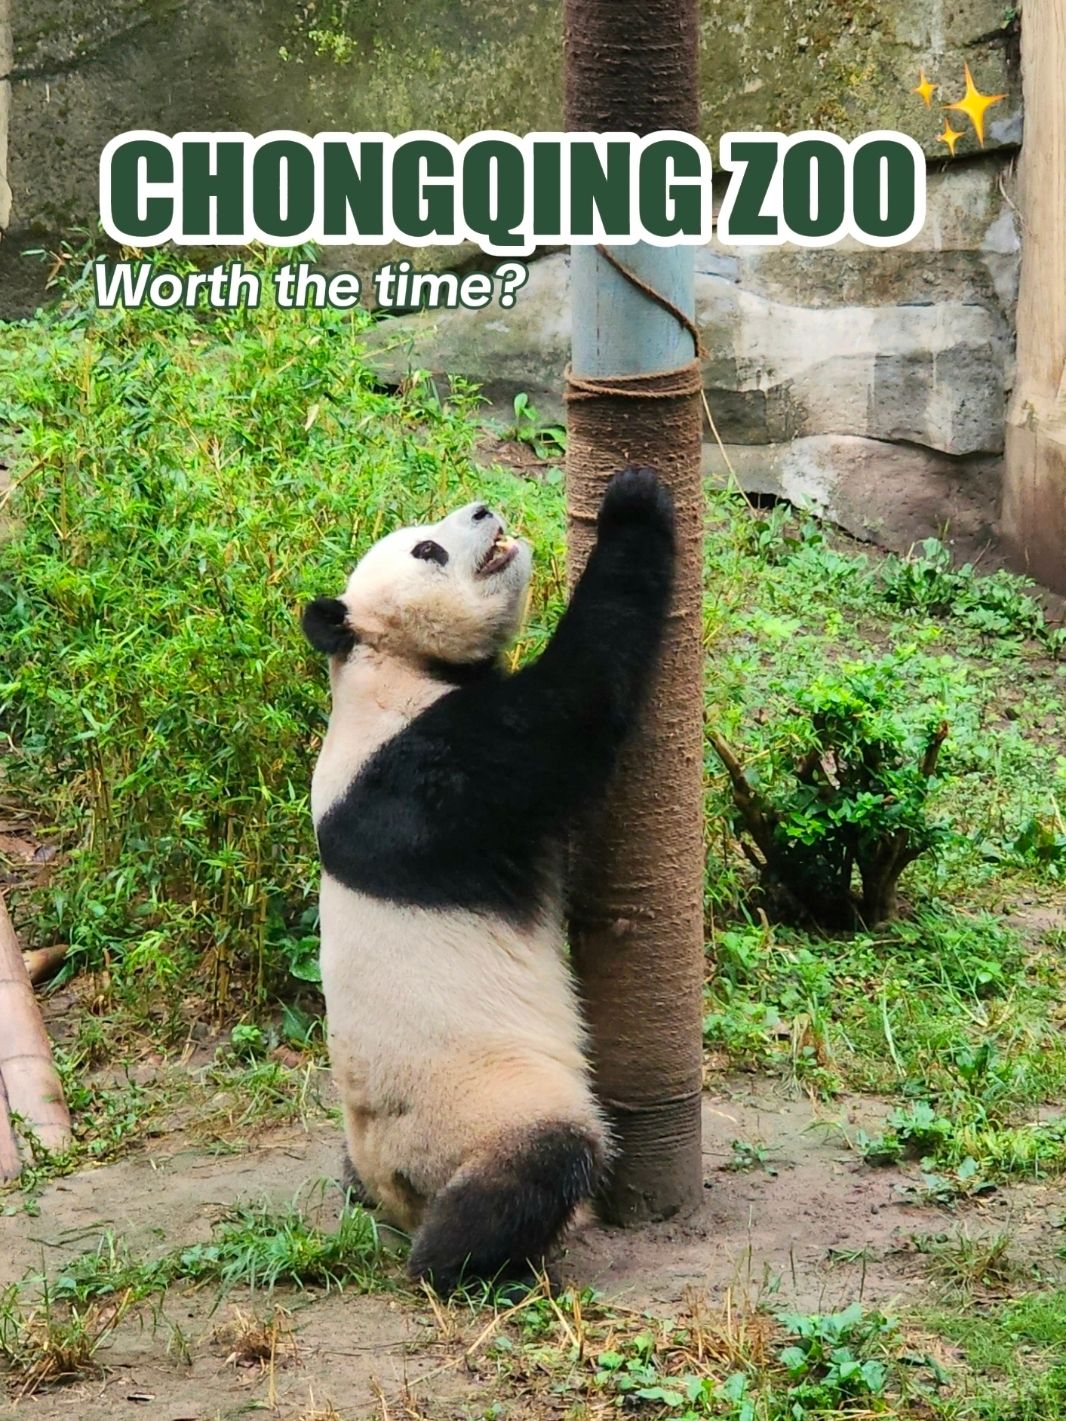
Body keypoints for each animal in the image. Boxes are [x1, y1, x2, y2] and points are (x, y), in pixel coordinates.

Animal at [301, 465, 676, 1292]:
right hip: (484, 1099)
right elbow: (576, 702)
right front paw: (634, 502)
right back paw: (463, 1261)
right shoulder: (432, 767)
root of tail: (399, 1189)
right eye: (429, 548)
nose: (481, 507)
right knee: (541, 1160)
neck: (387, 662)